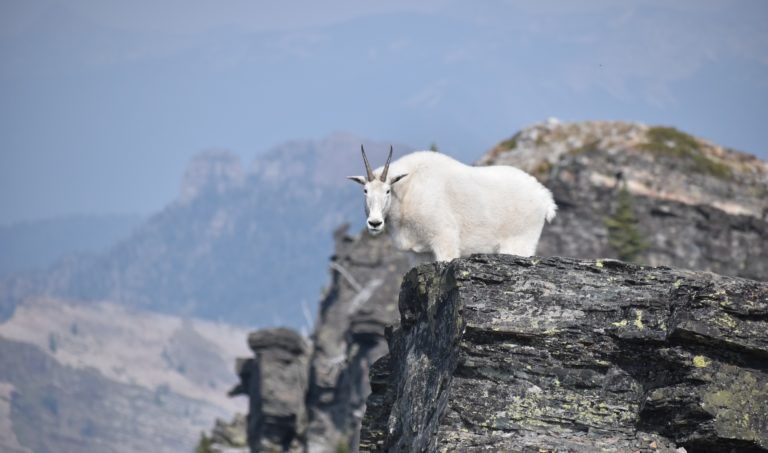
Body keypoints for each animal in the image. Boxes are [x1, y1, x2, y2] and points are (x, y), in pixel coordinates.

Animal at [350, 147, 560, 262]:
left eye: (387, 190)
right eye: (365, 190)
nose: (375, 223)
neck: (408, 190)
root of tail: (544, 197)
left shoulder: (444, 238)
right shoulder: (419, 253)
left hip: (520, 241)